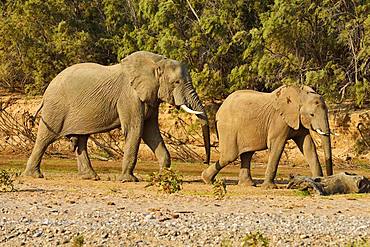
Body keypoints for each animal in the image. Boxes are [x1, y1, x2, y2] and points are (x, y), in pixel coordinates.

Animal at [23, 50, 210, 181]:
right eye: (176, 82)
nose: (205, 163)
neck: (156, 62)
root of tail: (46, 91)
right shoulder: (129, 96)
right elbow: (136, 129)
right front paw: (128, 180)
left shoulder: (151, 97)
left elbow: (151, 132)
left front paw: (162, 177)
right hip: (56, 108)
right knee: (46, 137)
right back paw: (34, 175)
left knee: (81, 139)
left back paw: (91, 177)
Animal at [201, 85, 334, 189]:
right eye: (311, 114)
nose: (329, 177)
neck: (299, 94)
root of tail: (220, 107)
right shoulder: (279, 119)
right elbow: (277, 145)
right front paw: (270, 187)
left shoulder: (298, 120)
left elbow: (308, 147)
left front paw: (318, 180)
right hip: (228, 128)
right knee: (229, 156)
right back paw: (207, 180)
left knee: (246, 154)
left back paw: (247, 185)